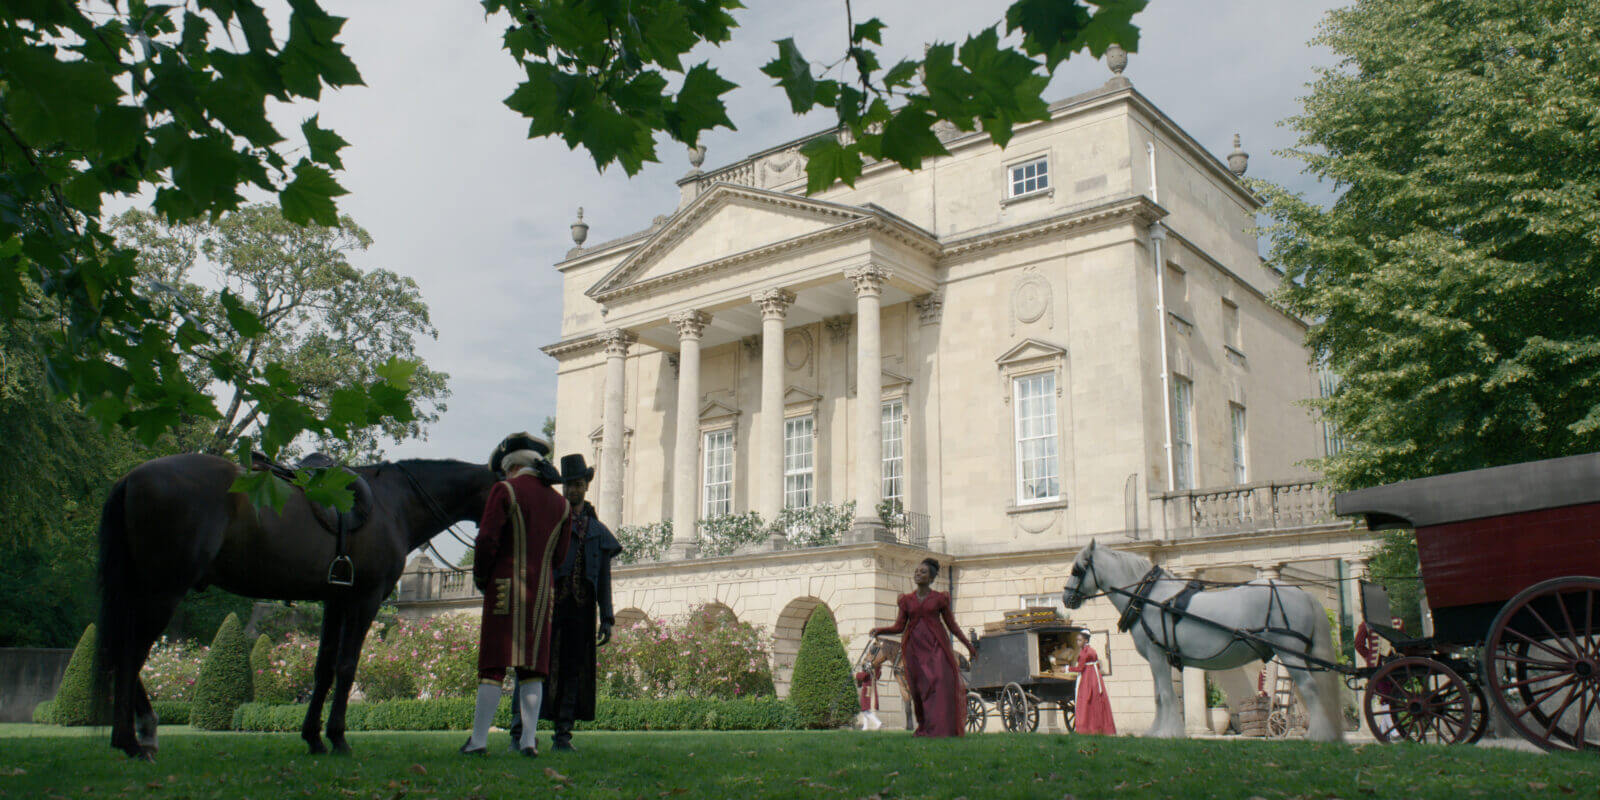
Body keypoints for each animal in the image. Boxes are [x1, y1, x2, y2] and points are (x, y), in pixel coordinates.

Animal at [96, 454, 492, 758]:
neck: (394, 502)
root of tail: (132, 476)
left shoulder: (336, 597)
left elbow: (324, 669)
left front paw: (314, 737)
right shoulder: (365, 597)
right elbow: (347, 666)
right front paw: (338, 737)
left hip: (140, 586)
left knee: (120, 649)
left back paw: (141, 732)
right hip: (165, 587)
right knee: (131, 653)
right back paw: (131, 740)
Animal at [1062, 540, 1350, 739]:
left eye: (1077, 569)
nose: (1066, 598)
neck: (1147, 599)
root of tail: (1303, 594)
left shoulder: (1157, 656)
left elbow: (1164, 695)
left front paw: (1168, 732)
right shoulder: (1157, 660)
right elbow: (1158, 695)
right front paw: (1157, 730)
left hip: (1290, 652)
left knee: (1310, 689)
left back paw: (1320, 735)